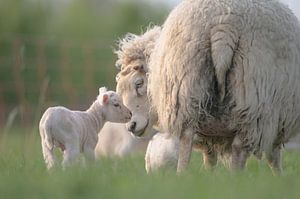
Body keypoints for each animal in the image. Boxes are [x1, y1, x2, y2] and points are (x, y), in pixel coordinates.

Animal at [147, 0, 300, 173]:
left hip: (185, 88)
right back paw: (236, 176)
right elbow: (274, 156)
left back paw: (183, 174)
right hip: (253, 95)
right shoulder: (277, 122)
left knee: (186, 137)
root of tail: (224, 27)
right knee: (239, 146)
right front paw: (279, 175)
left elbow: (210, 157)